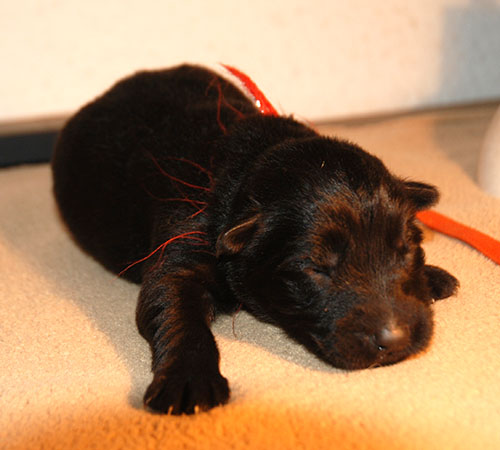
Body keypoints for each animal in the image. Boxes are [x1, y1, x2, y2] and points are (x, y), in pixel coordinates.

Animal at [51, 64, 458, 415]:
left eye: (407, 250)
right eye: (315, 269)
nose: (396, 339)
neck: (249, 165)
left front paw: (432, 276)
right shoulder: (182, 245)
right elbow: (177, 311)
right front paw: (189, 380)